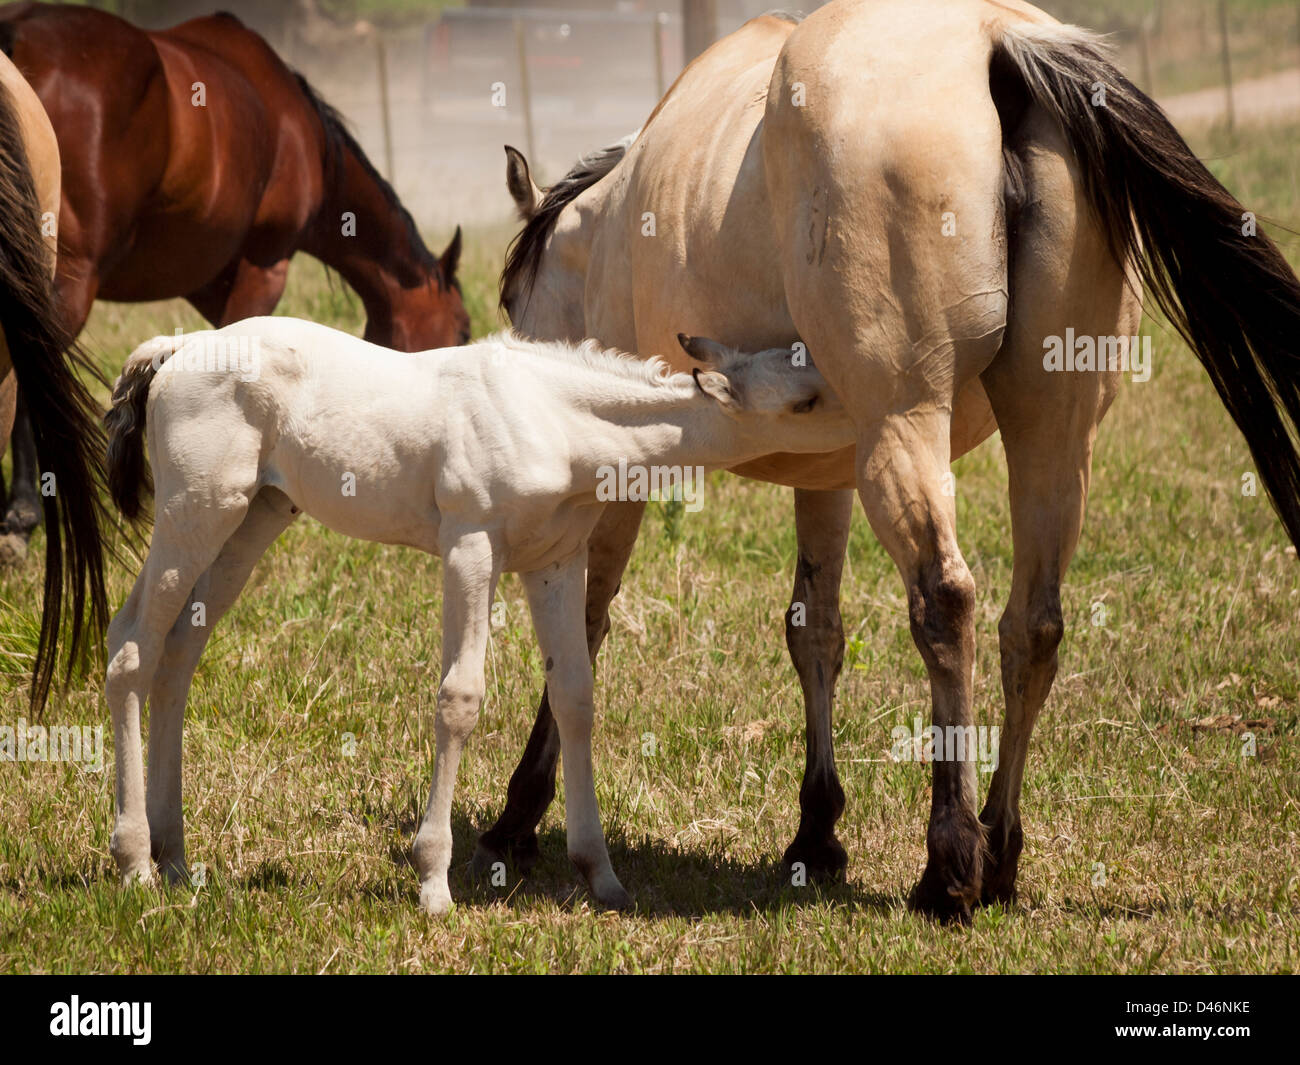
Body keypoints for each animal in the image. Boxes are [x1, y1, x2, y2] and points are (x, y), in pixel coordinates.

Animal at [101, 319, 854, 914]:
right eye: (806, 400)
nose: (863, 429)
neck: (554, 420)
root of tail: (177, 346)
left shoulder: (557, 562)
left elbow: (575, 696)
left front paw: (601, 875)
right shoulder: (470, 546)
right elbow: (459, 699)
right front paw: (433, 879)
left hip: (253, 517)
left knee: (180, 649)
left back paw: (175, 857)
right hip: (196, 512)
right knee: (132, 644)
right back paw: (135, 862)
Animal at [484, 0, 1300, 921]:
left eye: (511, 298)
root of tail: (998, 42)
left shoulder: (628, 470)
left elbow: (582, 626)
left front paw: (520, 809)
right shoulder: (827, 477)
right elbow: (814, 629)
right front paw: (815, 831)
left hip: (904, 428)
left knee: (945, 601)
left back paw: (949, 864)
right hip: (1051, 436)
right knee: (1034, 624)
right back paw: (1000, 849)